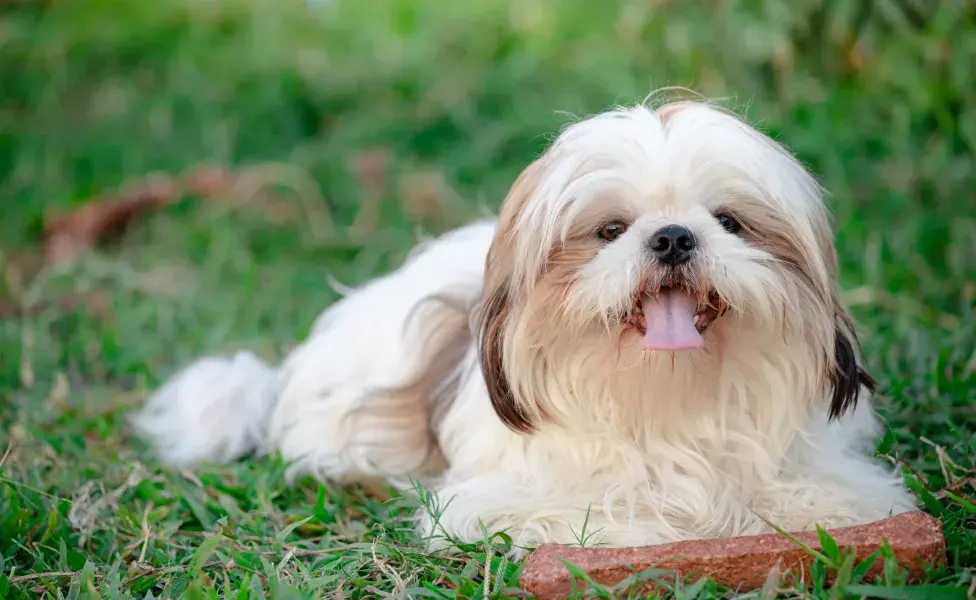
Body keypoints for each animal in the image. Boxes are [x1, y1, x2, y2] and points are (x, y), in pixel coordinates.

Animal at [133, 97, 920, 556]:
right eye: (610, 231)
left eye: (728, 222)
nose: (672, 237)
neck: (665, 394)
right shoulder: (497, 503)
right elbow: (612, 511)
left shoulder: (848, 485)